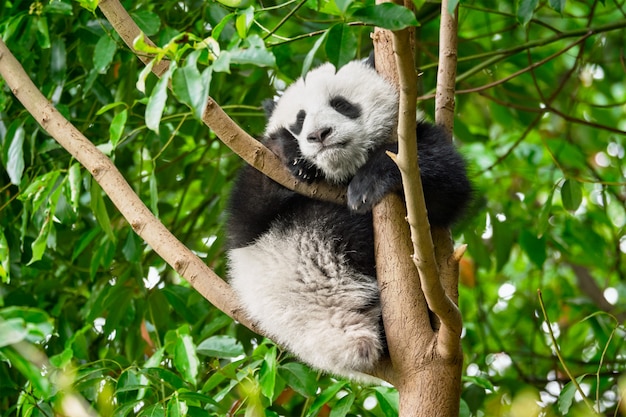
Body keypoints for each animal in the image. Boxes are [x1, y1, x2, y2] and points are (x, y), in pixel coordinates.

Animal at [224, 57, 468, 380]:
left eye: (340, 104)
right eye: (299, 121)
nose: (319, 135)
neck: (340, 173)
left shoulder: (416, 141)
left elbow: (447, 184)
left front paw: (367, 183)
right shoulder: (251, 212)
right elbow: (247, 218)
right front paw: (292, 155)